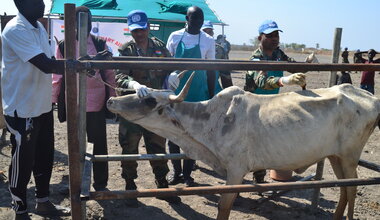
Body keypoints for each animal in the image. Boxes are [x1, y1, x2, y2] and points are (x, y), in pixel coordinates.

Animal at [106, 74, 380, 220]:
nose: (110, 100)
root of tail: (370, 97)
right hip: (335, 156)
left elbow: (224, 206)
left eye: (150, 100)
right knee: (344, 189)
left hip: (350, 155)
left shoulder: (236, 171)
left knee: (352, 189)